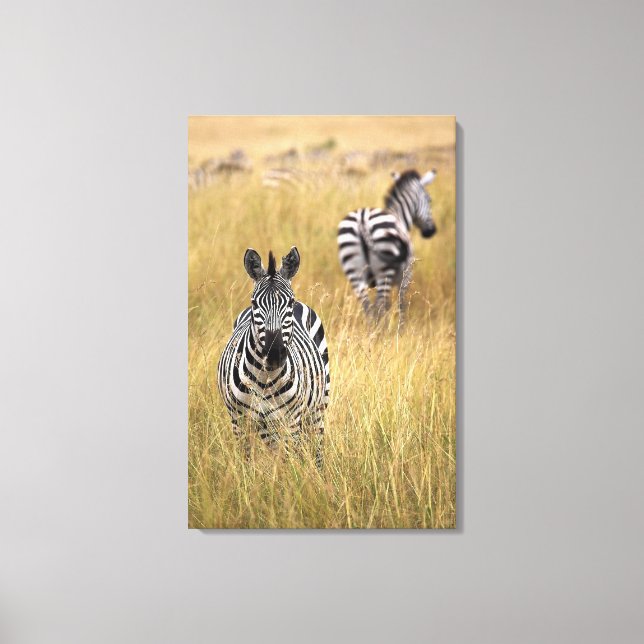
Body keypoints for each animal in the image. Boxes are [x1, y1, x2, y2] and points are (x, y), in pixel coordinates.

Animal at [217, 247, 330, 468]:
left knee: (317, 446)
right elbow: (247, 463)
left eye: (290, 302)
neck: (264, 378)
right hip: (265, 424)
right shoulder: (238, 421)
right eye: (254, 303)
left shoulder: (291, 421)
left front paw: (291, 477)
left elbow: (288, 462)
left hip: (318, 406)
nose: (275, 354)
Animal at [337, 169, 438, 323]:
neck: (399, 217)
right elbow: (401, 306)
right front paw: (401, 328)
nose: (431, 231)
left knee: (368, 308)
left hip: (353, 270)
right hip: (384, 271)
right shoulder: (406, 276)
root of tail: (362, 219)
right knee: (379, 307)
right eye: (429, 199)